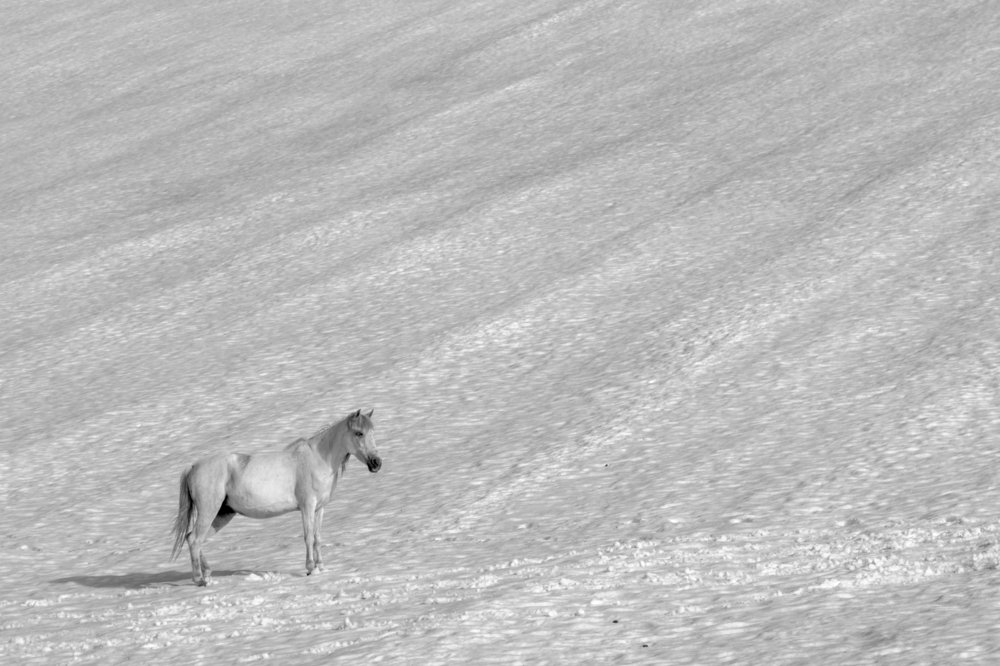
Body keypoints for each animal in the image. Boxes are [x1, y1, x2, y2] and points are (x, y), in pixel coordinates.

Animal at [170, 409, 381, 586]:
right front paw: (310, 568)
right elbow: (308, 536)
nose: (376, 463)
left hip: (223, 514)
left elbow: (318, 537)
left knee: (194, 539)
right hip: (209, 511)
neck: (318, 459)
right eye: (359, 433)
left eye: (373, 432)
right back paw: (199, 580)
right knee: (195, 539)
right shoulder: (307, 506)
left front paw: (321, 567)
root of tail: (193, 466)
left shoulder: (320, 508)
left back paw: (207, 573)